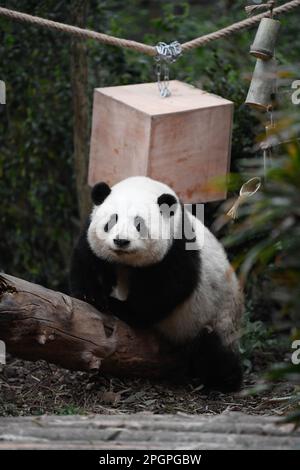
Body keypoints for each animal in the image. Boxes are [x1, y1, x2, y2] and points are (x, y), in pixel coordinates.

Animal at [69, 176, 244, 392]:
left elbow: (165, 290)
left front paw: (120, 308)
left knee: (215, 351)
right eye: (111, 221)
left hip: (218, 314)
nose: (121, 241)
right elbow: (89, 261)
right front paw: (92, 296)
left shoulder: (177, 248)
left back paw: (223, 380)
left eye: (139, 224)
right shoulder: (92, 235)